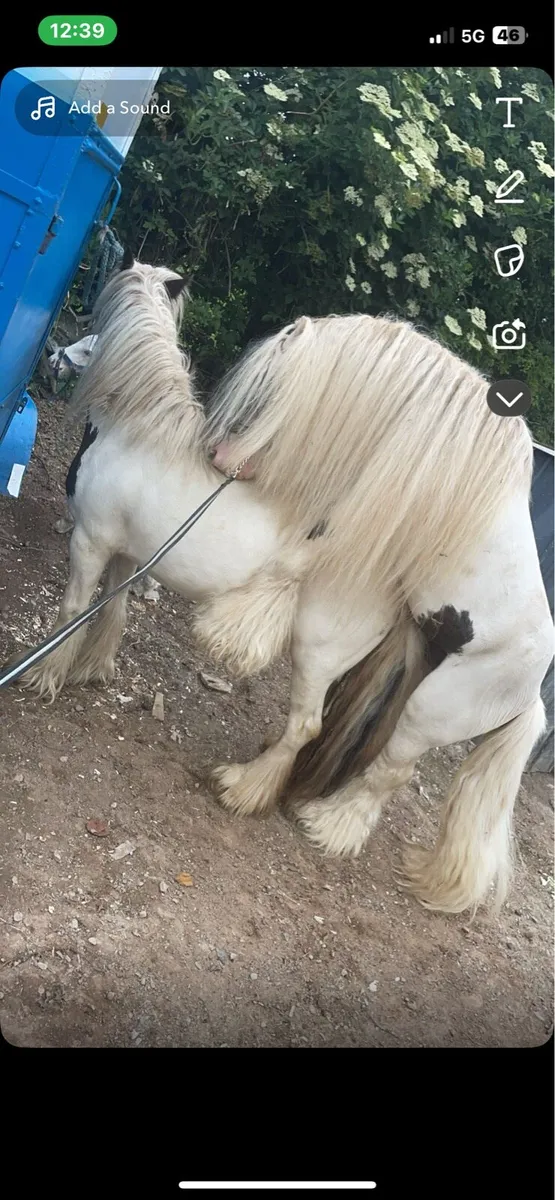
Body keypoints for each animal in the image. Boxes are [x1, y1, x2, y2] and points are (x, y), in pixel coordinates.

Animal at [13, 255, 553, 916]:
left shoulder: (89, 542)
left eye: (92, 331)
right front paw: (93, 670)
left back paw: (263, 795)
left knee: (337, 744)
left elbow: (71, 611)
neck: (139, 428)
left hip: (358, 673)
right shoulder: (125, 554)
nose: (53, 358)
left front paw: (45, 676)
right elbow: (111, 614)